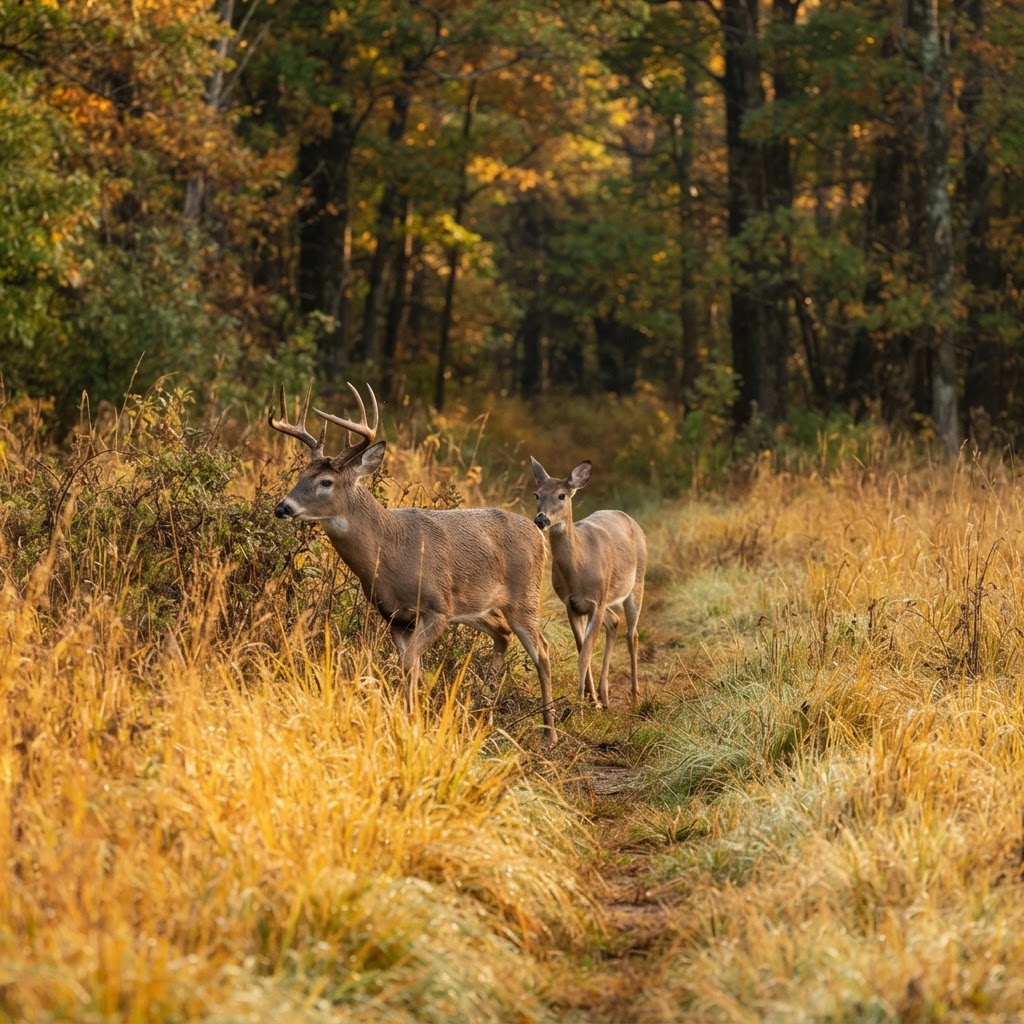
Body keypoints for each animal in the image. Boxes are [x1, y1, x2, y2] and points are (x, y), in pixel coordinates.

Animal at [270, 383, 557, 745]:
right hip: (477, 607)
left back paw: (549, 734)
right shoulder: (395, 616)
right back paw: (483, 708)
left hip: (524, 597)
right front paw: (411, 719)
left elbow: (409, 663)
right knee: (503, 634)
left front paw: (411, 722)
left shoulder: (437, 607)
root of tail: (539, 535)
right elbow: (411, 666)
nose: (282, 507)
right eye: (301, 474)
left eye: (325, 482)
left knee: (543, 652)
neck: (391, 550)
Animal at [530, 457, 647, 710]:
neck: (579, 569)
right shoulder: (572, 604)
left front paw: (581, 702)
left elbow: (585, 654)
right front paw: (590, 697)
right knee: (614, 622)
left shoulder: (597, 601)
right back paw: (604, 694)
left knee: (632, 635)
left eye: (562, 495)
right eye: (536, 494)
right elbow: (581, 648)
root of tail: (630, 520)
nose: (541, 519)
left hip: (637, 584)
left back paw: (634, 693)